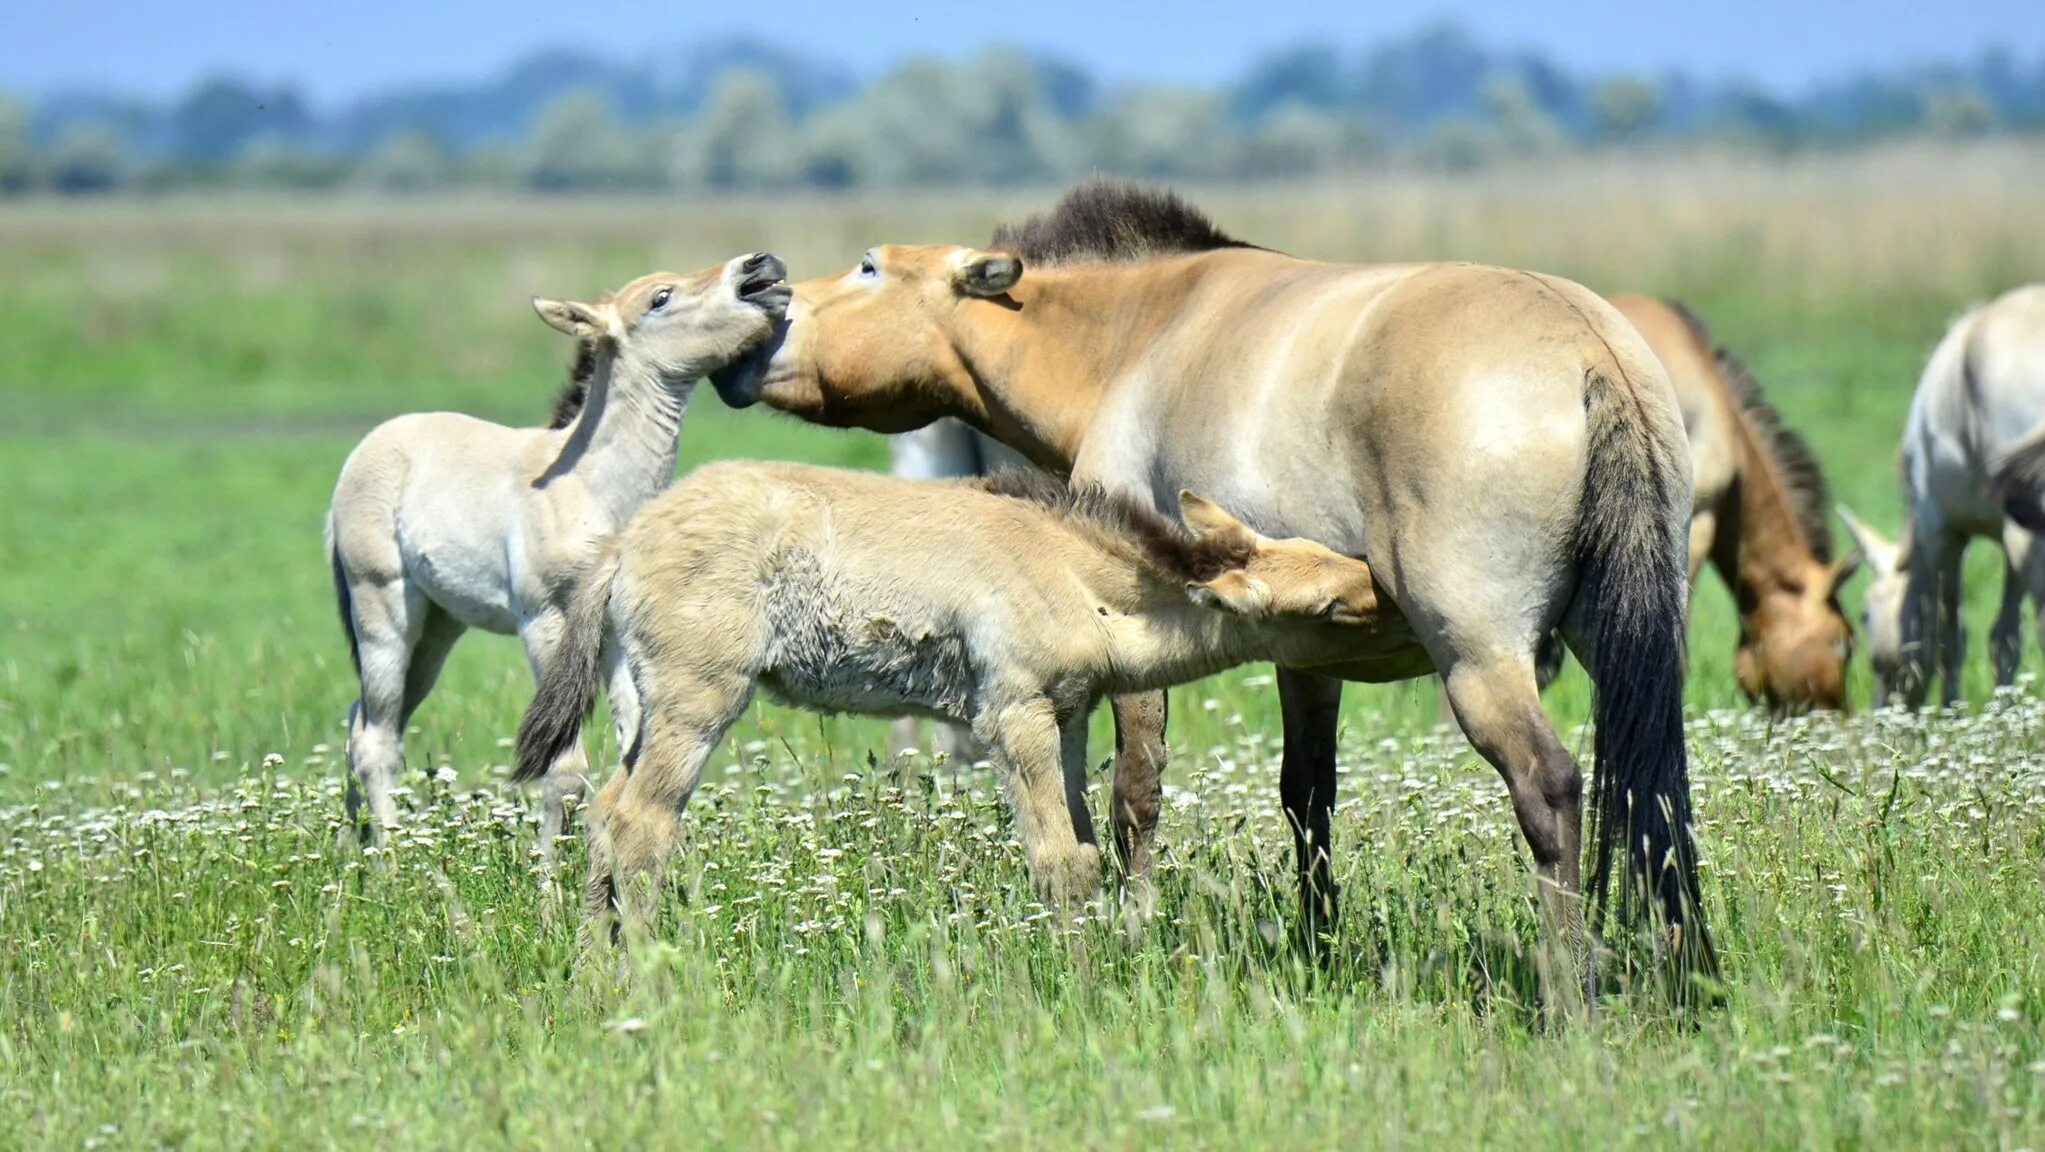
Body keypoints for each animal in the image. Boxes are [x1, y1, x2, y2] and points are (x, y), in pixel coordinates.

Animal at [327, 252, 789, 847]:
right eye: (660, 298)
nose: (761, 267)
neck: (590, 486)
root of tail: (364, 452)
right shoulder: (545, 621)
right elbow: (565, 769)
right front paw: (550, 871)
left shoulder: (615, 630)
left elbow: (634, 745)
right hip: (384, 611)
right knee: (375, 738)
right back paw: (390, 856)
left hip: (436, 631)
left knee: (360, 719)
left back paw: (352, 848)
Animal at [519, 464, 1398, 949]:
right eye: (1329, 608)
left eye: (1330, 553)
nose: (1386, 596)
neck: (1076, 577)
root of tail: (623, 546)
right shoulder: (1013, 716)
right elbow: (1060, 862)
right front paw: (1078, 981)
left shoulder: (1067, 716)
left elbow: (1085, 846)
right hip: (699, 700)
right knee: (641, 825)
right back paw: (646, 977)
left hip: (645, 707)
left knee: (604, 812)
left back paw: (594, 972)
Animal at [703, 185, 1709, 994]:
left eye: (869, 267)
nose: (761, 299)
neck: (1141, 333)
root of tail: (1586, 349)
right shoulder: (1310, 655)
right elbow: (1308, 799)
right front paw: (1315, 944)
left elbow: (1134, 795)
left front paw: (1132, 929)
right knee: (1652, 790)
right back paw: (1680, 968)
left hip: (1480, 659)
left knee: (1550, 787)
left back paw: (1570, 988)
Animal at [1840, 284, 2045, 707]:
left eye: (1865, 613)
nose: (1883, 705)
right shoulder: (2004, 535)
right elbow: (2006, 637)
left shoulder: (1941, 530)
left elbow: (1949, 635)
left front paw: (1953, 710)